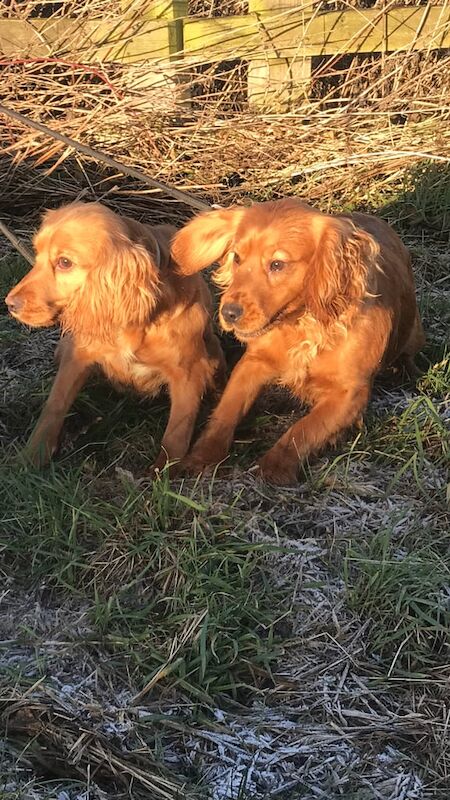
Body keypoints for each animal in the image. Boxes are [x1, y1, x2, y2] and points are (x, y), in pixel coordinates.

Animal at [5, 202, 225, 468]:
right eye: (36, 254)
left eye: (65, 262)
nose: (9, 304)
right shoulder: (76, 357)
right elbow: (54, 406)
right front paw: (30, 458)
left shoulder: (188, 372)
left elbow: (177, 432)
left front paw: (163, 472)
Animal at [171, 197, 424, 484]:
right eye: (237, 257)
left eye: (277, 264)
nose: (229, 313)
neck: (303, 326)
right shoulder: (253, 363)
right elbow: (226, 410)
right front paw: (201, 457)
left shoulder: (350, 393)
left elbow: (304, 428)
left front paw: (274, 467)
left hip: (414, 332)